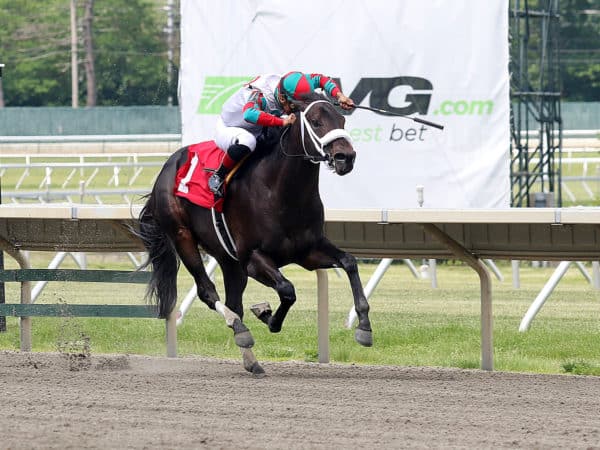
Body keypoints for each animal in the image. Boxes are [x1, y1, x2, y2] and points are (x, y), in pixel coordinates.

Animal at [139, 93, 372, 374]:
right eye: (316, 122)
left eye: (342, 120)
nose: (345, 157)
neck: (280, 191)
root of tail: (166, 167)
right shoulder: (253, 258)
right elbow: (287, 289)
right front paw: (267, 316)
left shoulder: (308, 251)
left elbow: (349, 262)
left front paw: (364, 327)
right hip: (183, 236)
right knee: (208, 292)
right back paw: (240, 329)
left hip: (229, 260)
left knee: (233, 302)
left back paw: (251, 359)